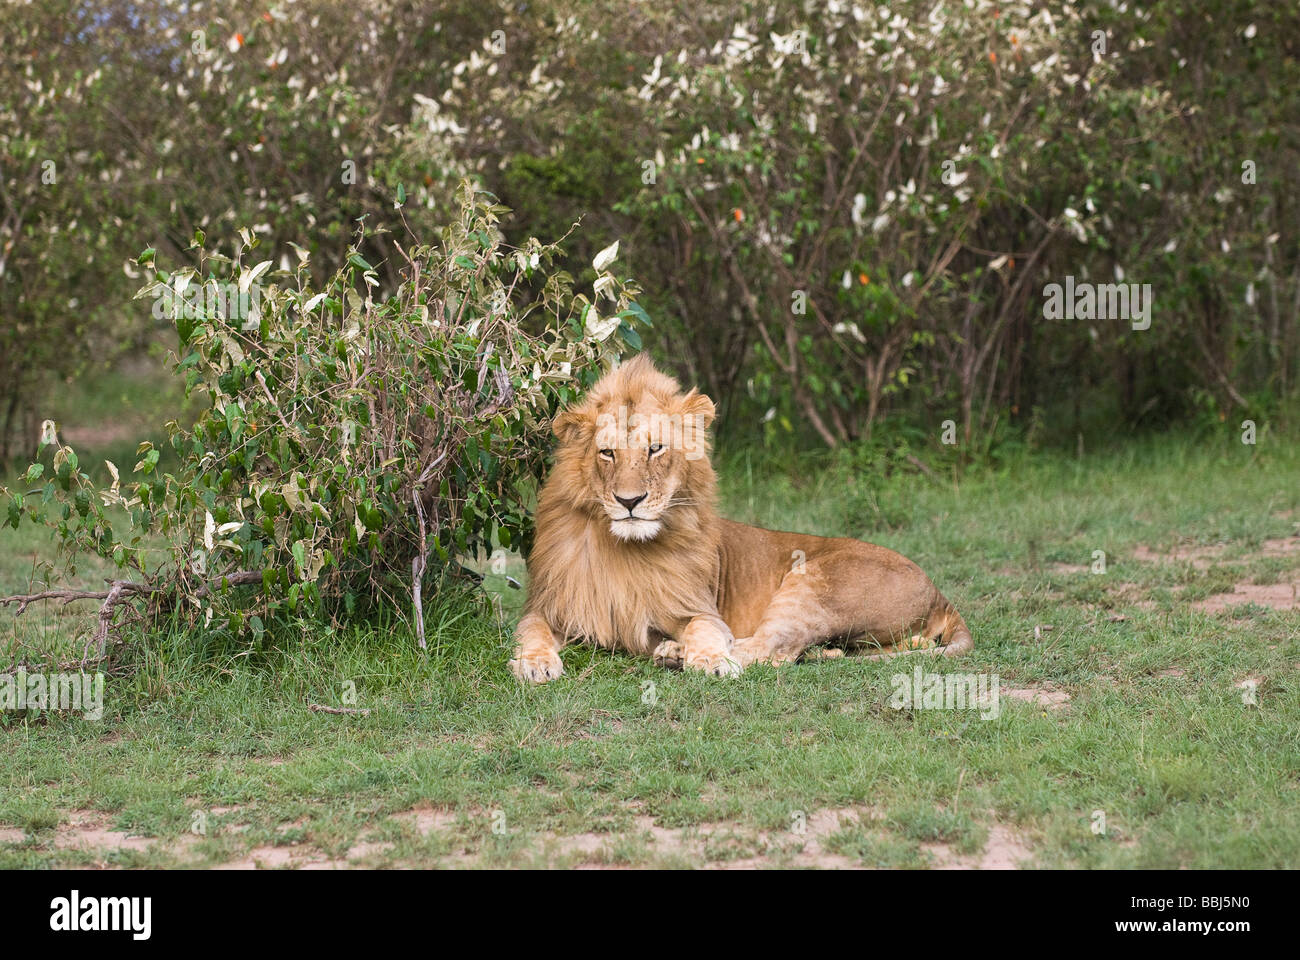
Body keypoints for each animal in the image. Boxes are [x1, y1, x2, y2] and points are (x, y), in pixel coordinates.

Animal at [508, 354, 972, 682]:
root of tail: (939, 593)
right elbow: (530, 630)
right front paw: (534, 664)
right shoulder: (552, 606)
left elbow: (710, 630)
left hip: (810, 585)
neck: (624, 549)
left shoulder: (700, 607)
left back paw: (678, 655)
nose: (629, 501)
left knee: (772, 649)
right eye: (607, 453)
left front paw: (708, 659)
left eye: (655, 449)